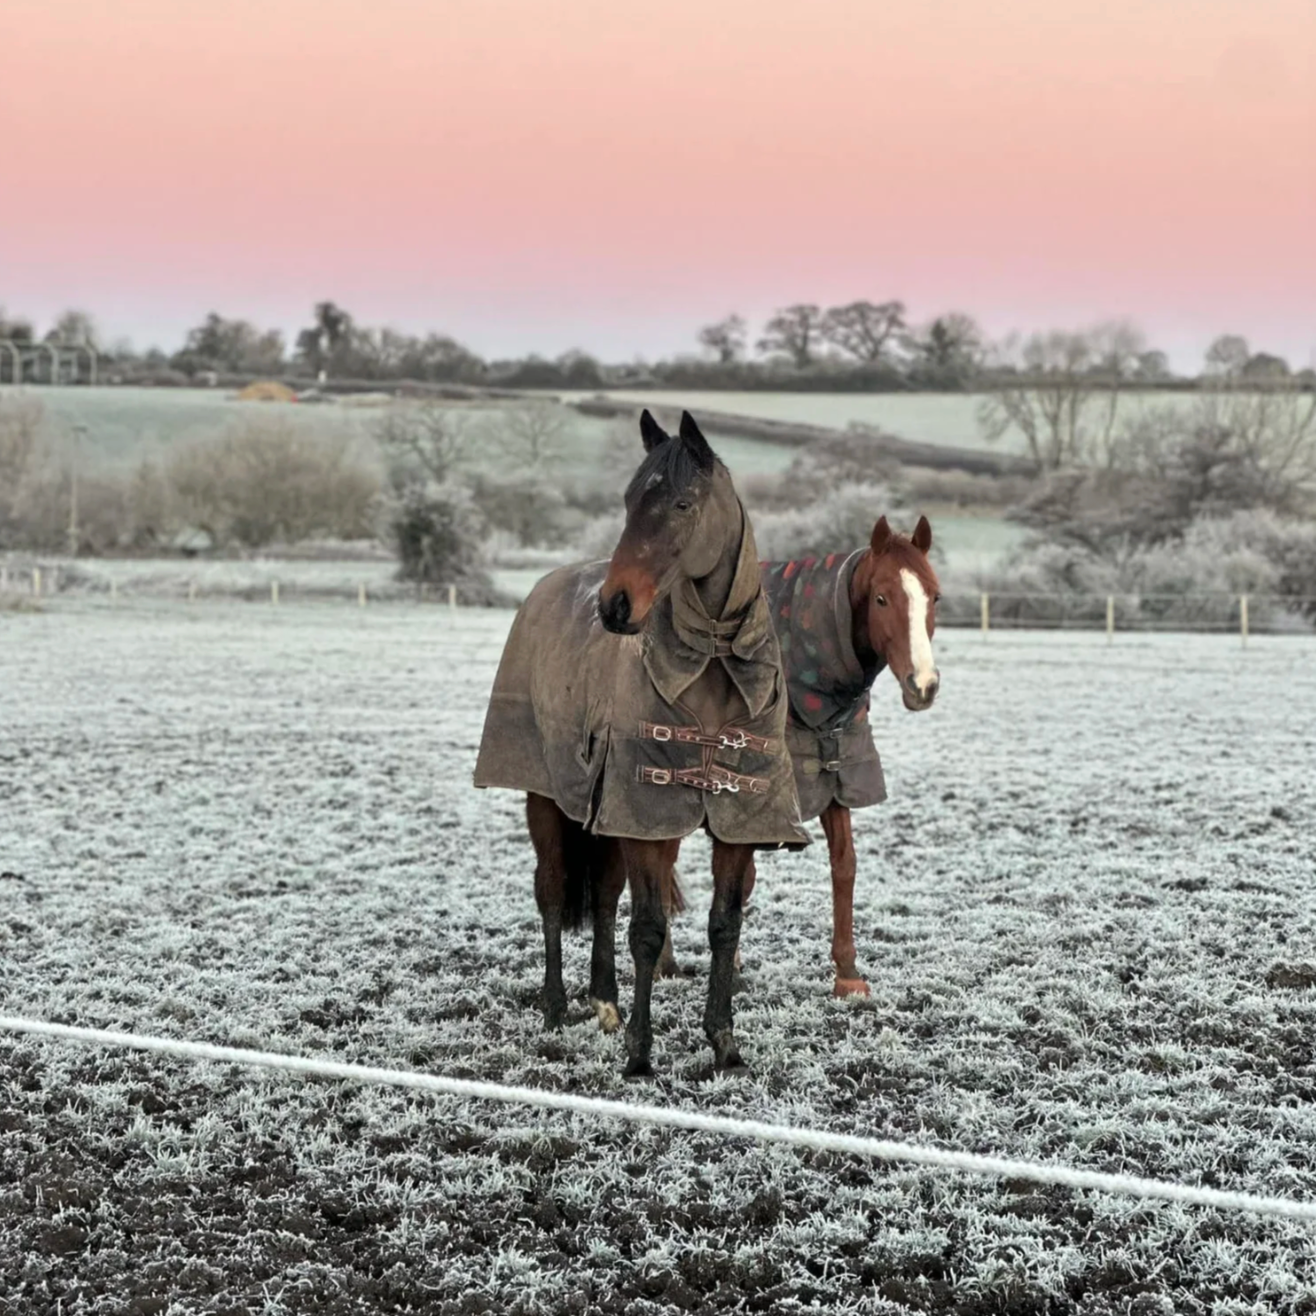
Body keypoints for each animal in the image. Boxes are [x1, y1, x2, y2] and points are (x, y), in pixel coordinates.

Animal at [473, 409, 809, 1076]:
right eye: (629, 500)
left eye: (682, 503)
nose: (615, 605)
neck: (712, 663)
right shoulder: (647, 820)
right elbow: (649, 931)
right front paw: (640, 1054)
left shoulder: (735, 822)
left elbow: (723, 926)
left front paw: (723, 1043)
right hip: (547, 803)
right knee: (554, 894)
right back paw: (556, 1007)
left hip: (602, 818)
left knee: (603, 899)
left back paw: (605, 1001)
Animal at [661, 515, 941, 996]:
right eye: (882, 598)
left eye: (935, 596)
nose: (922, 685)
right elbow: (740, 876)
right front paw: (730, 966)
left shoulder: (834, 771)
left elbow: (844, 865)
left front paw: (847, 974)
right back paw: (662, 963)